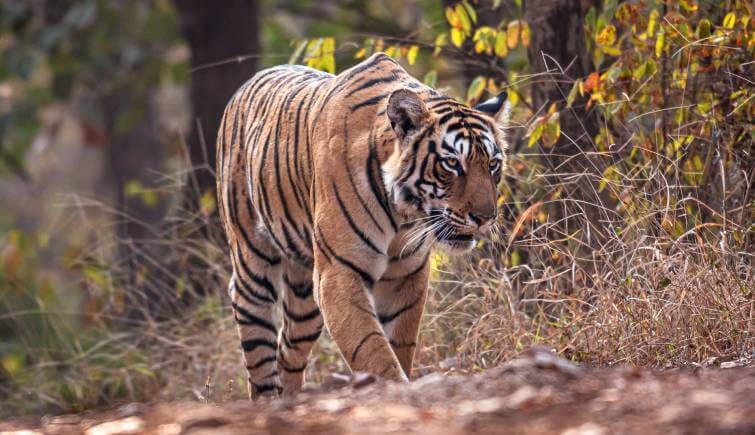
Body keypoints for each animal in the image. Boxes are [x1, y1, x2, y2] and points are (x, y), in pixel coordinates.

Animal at [216, 52, 509, 399]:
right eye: (452, 163)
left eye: (493, 165)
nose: (486, 217)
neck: (403, 216)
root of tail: (246, 84)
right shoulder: (338, 273)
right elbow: (371, 348)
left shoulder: (405, 275)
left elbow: (398, 345)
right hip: (253, 264)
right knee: (258, 347)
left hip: (304, 295)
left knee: (288, 348)